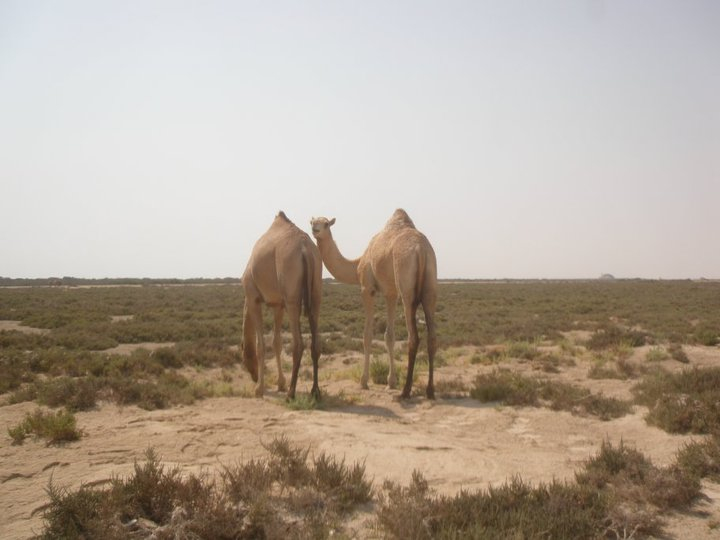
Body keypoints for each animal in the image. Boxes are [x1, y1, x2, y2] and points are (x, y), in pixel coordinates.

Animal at [242, 211, 320, 400]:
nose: (253, 376)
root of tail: (305, 249)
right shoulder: (278, 305)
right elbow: (276, 342)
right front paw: (280, 384)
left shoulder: (253, 298)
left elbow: (261, 345)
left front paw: (260, 389)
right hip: (316, 292)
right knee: (316, 343)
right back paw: (315, 391)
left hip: (292, 298)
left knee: (298, 344)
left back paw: (291, 393)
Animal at [310, 209, 438, 398]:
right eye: (312, 222)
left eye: (326, 224)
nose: (315, 230)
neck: (357, 264)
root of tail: (421, 249)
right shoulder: (391, 293)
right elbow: (389, 336)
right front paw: (391, 382)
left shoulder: (367, 288)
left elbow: (367, 335)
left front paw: (364, 381)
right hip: (430, 284)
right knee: (432, 336)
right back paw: (429, 390)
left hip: (406, 287)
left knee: (413, 337)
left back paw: (406, 390)